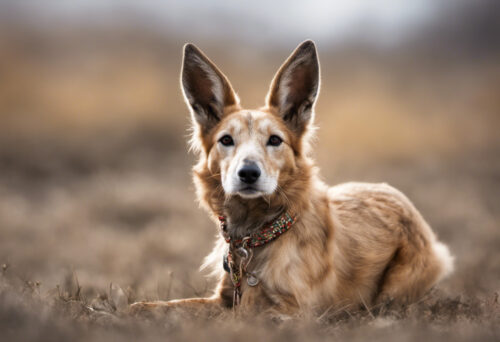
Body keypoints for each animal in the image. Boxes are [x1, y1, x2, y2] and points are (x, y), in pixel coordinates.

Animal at [129, 40, 454, 318]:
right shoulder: (223, 298)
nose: (248, 173)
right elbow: (161, 306)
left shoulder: (294, 311)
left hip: (396, 287)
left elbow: (245, 317)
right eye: (226, 140)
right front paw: (137, 309)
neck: (259, 233)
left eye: (275, 140)